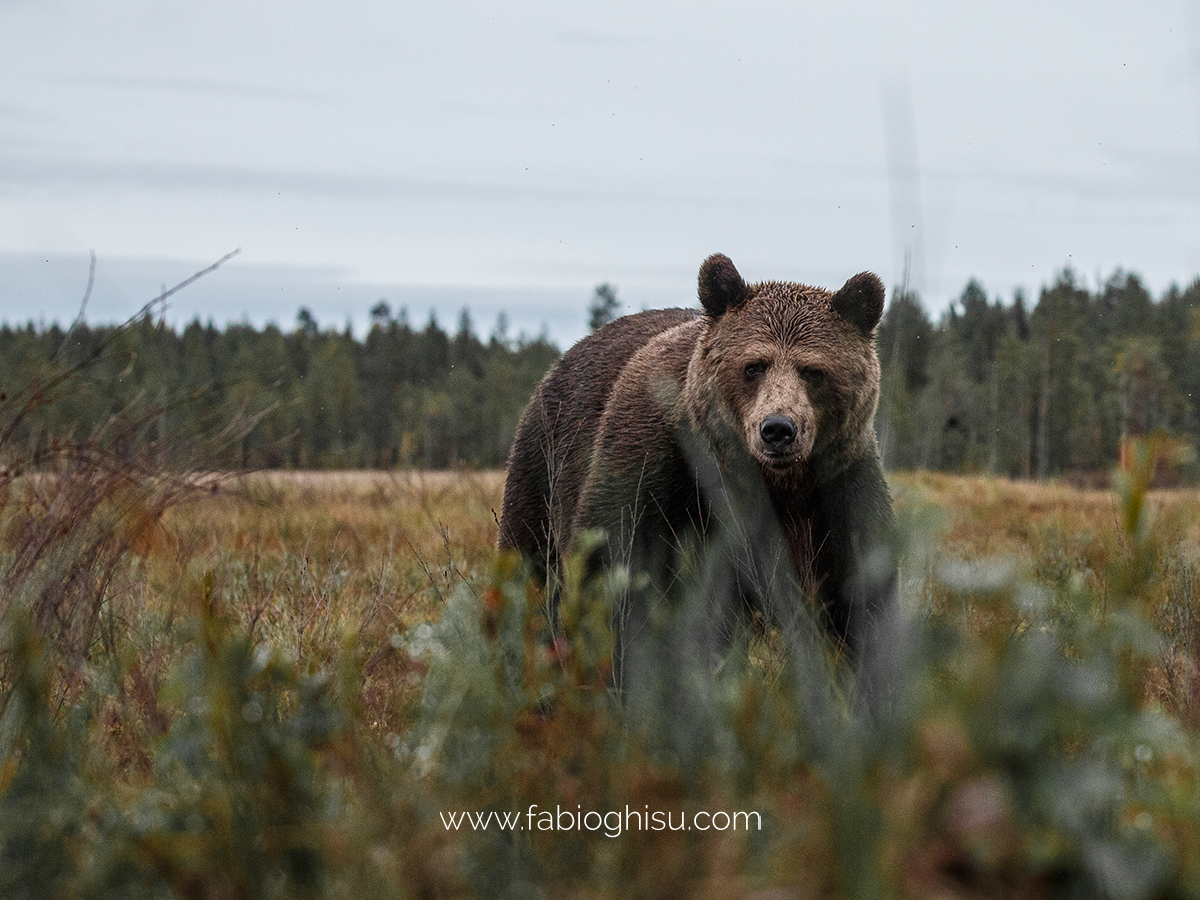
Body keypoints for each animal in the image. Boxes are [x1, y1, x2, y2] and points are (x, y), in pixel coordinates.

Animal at [494, 254, 892, 696]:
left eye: (813, 371)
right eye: (753, 366)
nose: (778, 429)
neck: (774, 483)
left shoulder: (838, 489)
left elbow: (861, 595)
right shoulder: (655, 468)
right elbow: (615, 571)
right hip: (543, 466)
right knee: (530, 573)